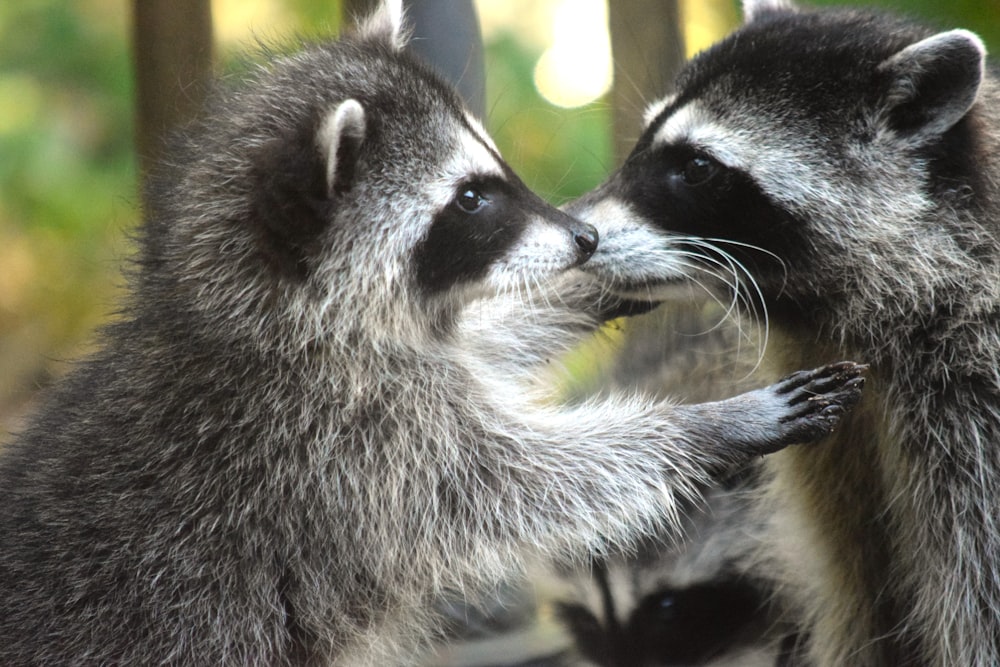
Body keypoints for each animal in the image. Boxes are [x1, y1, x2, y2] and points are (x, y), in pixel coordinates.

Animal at [0, 1, 864, 667]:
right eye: (472, 198)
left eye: (492, 176)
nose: (584, 237)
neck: (245, 307)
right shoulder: (340, 441)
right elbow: (517, 483)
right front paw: (706, 427)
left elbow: (479, 347)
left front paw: (602, 279)